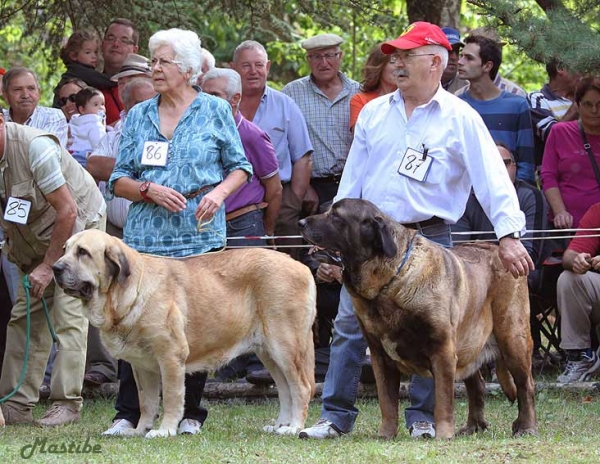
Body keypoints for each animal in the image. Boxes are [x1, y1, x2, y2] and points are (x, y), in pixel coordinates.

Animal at [52, 230, 316, 436]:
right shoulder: (142, 366)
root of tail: (301, 266)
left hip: (285, 346)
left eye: (83, 252)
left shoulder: (170, 356)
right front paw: (139, 430)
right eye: (64, 249)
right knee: (285, 389)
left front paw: (165, 430)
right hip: (269, 353)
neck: (128, 293)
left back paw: (294, 427)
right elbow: (146, 402)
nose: (55, 268)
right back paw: (280, 425)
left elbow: (170, 397)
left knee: (302, 387)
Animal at [300, 198, 540, 438]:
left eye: (336, 216)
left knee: (525, 385)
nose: (301, 222)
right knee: (477, 386)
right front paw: (386, 435)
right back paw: (473, 426)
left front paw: (443, 434)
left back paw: (526, 426)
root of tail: (496, 248)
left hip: (512, 338)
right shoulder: (379, 356)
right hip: (468, 342)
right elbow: (387, 401)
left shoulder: (442, 349)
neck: (389, 281)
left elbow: (443, 400)